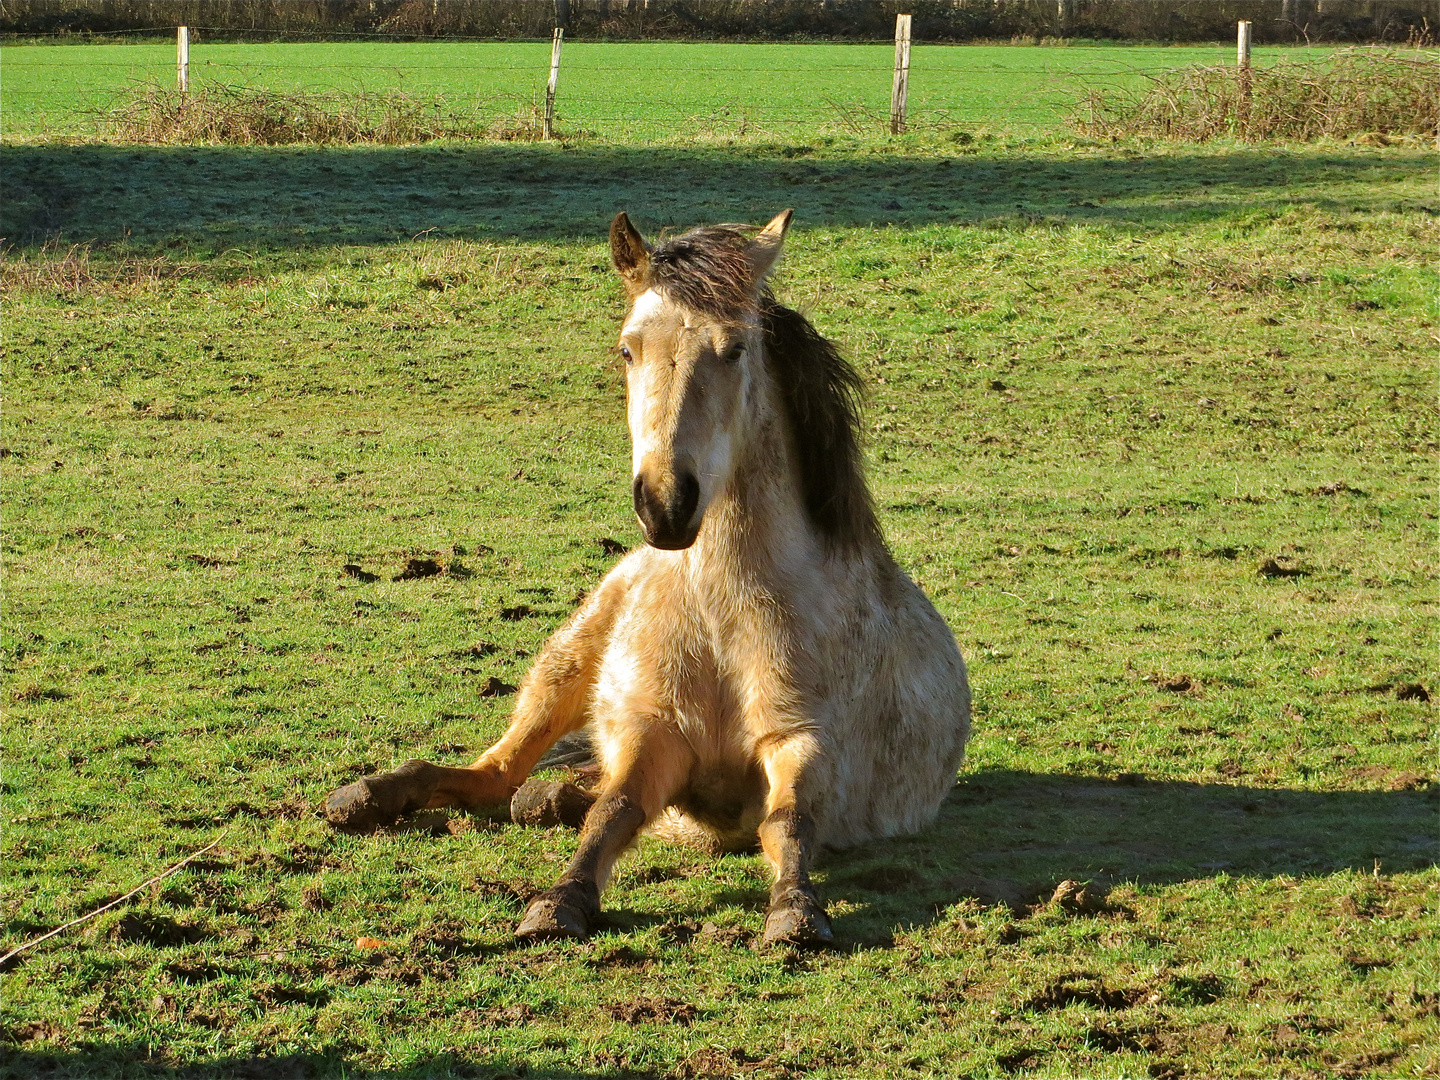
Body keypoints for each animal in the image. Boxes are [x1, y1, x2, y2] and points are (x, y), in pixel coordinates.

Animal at [325, 213, 967, 944]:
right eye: (627, 350)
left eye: (736, 349)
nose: (666, 503)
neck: (722, 614)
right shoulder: (654, 734)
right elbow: (616, 810)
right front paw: (560, 901)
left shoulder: (801, 741)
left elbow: (789, 822)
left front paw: (795, 911)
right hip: (563, 668)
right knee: (497, 773)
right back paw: (367, 796)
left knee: (534, 789)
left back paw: (542, 796)